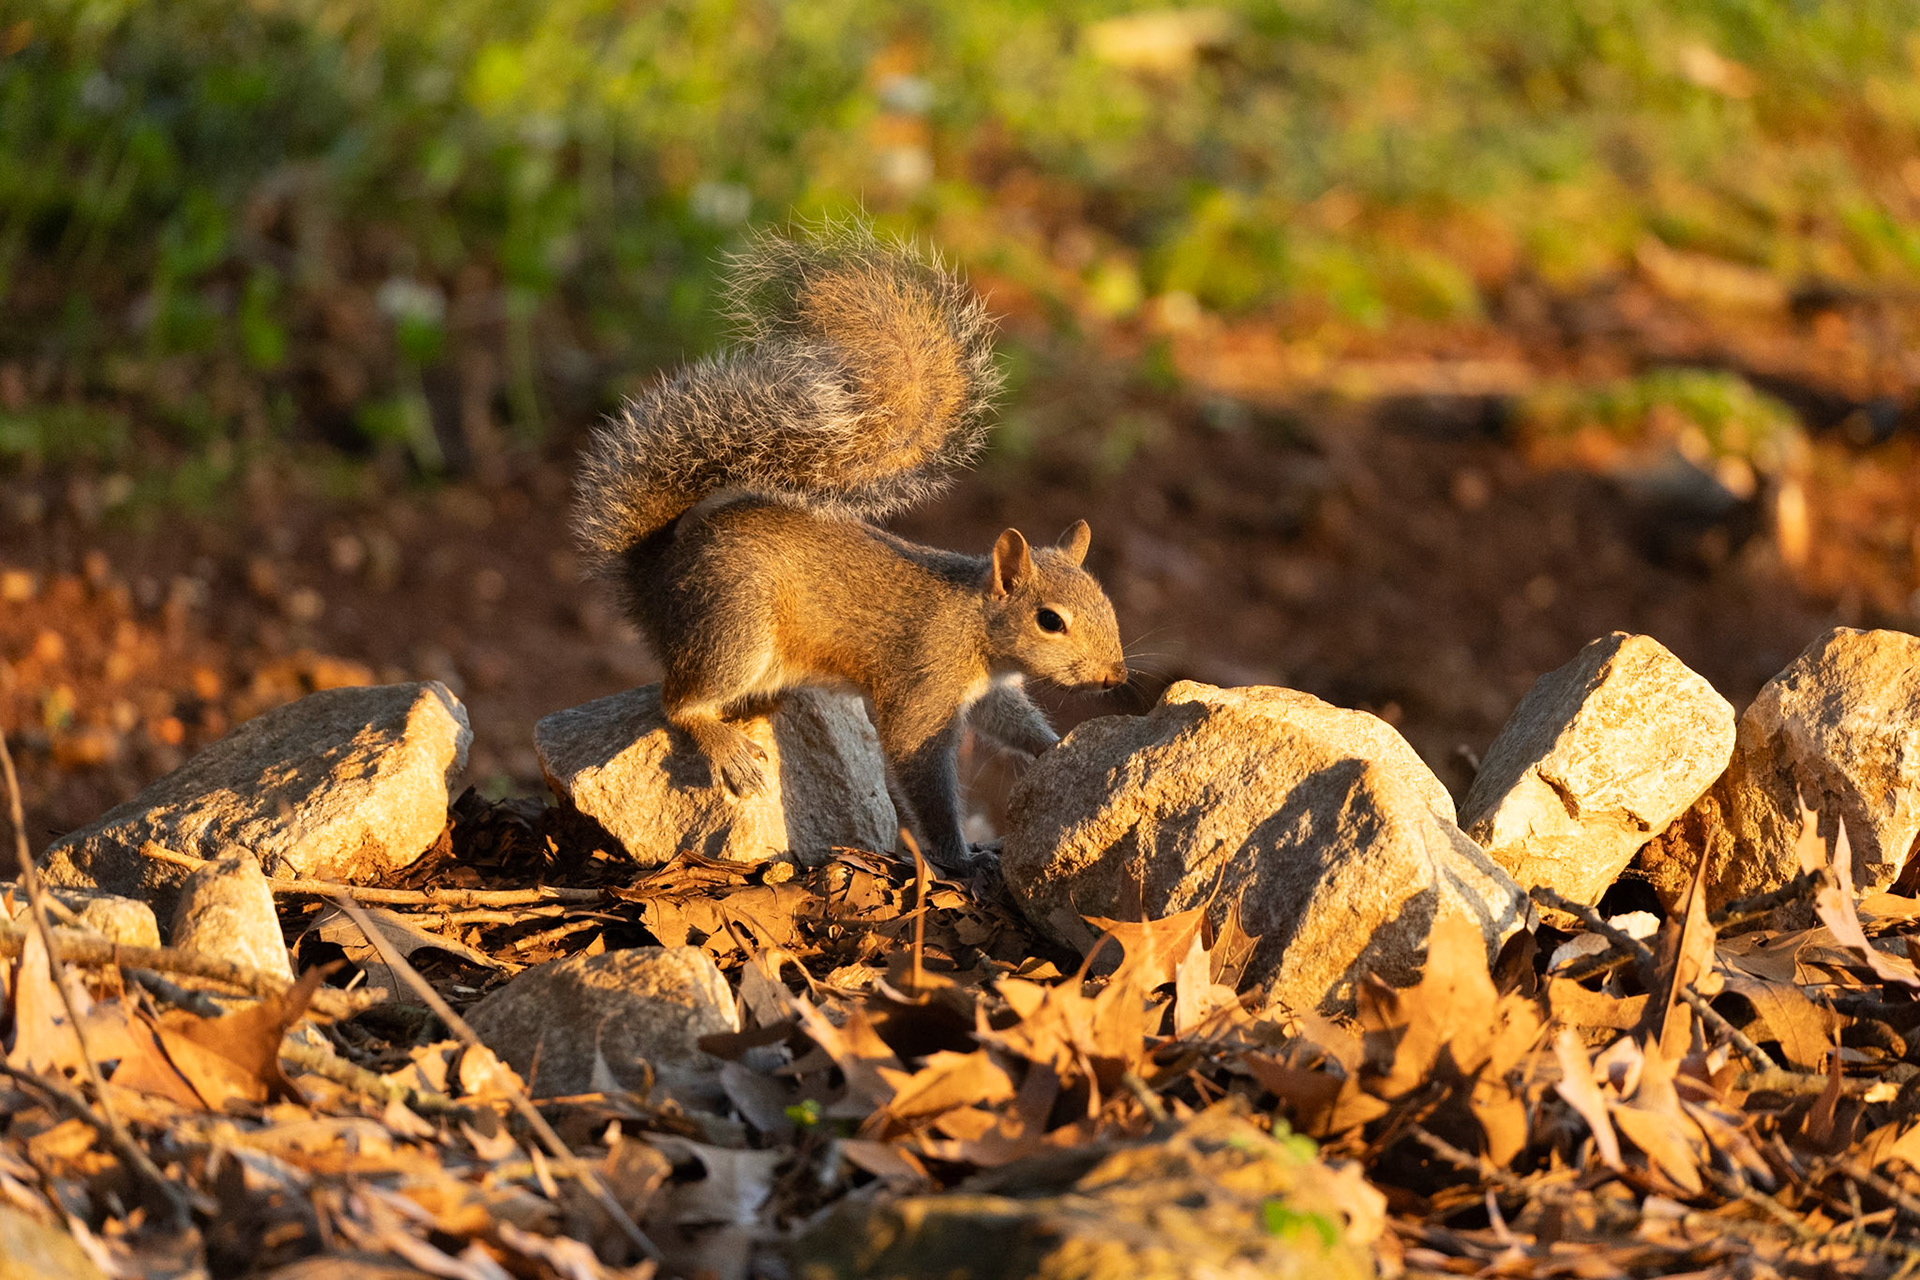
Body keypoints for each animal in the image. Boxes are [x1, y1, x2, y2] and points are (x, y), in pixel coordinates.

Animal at [571, 221, 1128, 870]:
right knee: (678, 701)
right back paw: (724, 744)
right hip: (734, 626)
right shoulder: (923, 685)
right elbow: (921, 767)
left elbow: (1010, 721)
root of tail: (657, 582)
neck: (974, 625)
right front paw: (961, 856)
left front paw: (1056, 746)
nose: (1115, 676)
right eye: (1050, 620)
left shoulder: (990, 693)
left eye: (1107, 604)